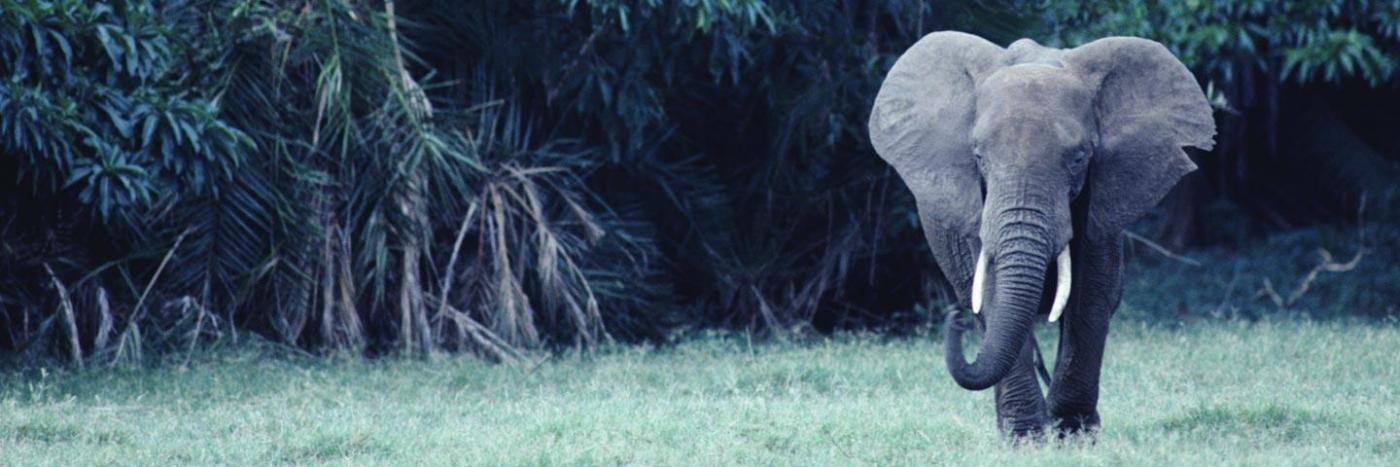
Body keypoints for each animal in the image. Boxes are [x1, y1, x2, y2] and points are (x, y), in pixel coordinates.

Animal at [867, 32, 1215, 438]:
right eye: (978, 157)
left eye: (1079, 159)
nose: (952, 320)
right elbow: (993, 294)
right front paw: (1027, 438)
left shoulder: (1102, 202)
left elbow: (1090, 293)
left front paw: (1071, 433)